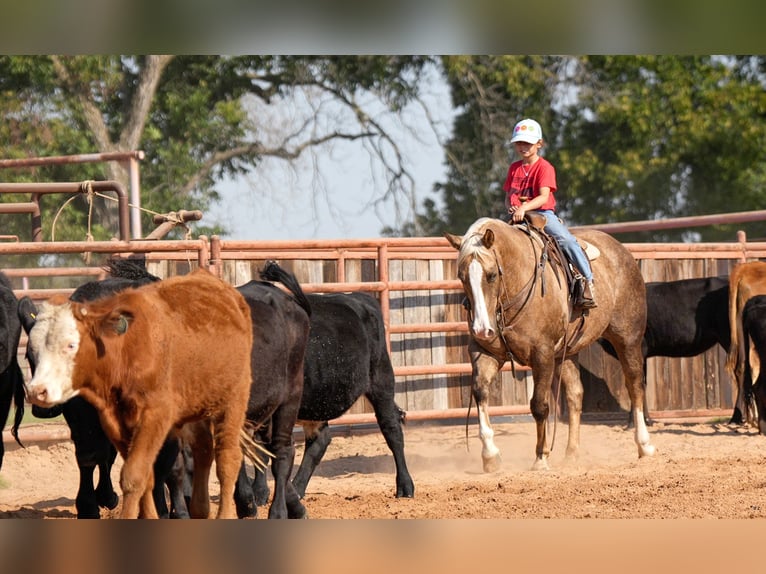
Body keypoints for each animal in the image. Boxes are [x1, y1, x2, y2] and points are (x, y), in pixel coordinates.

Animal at [448, 216, 656, 472]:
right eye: (462, 276)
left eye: (491, 275)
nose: (481, 329)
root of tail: (621, 250)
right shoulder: (484, 352)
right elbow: (480, 392)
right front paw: (490, 456)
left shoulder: (543, 355)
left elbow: (539, 405)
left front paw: (541, 457)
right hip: (567, 353)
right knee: (575, 394)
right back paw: (572, 453)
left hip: (628, 339)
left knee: (635, 385)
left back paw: (644, 445)